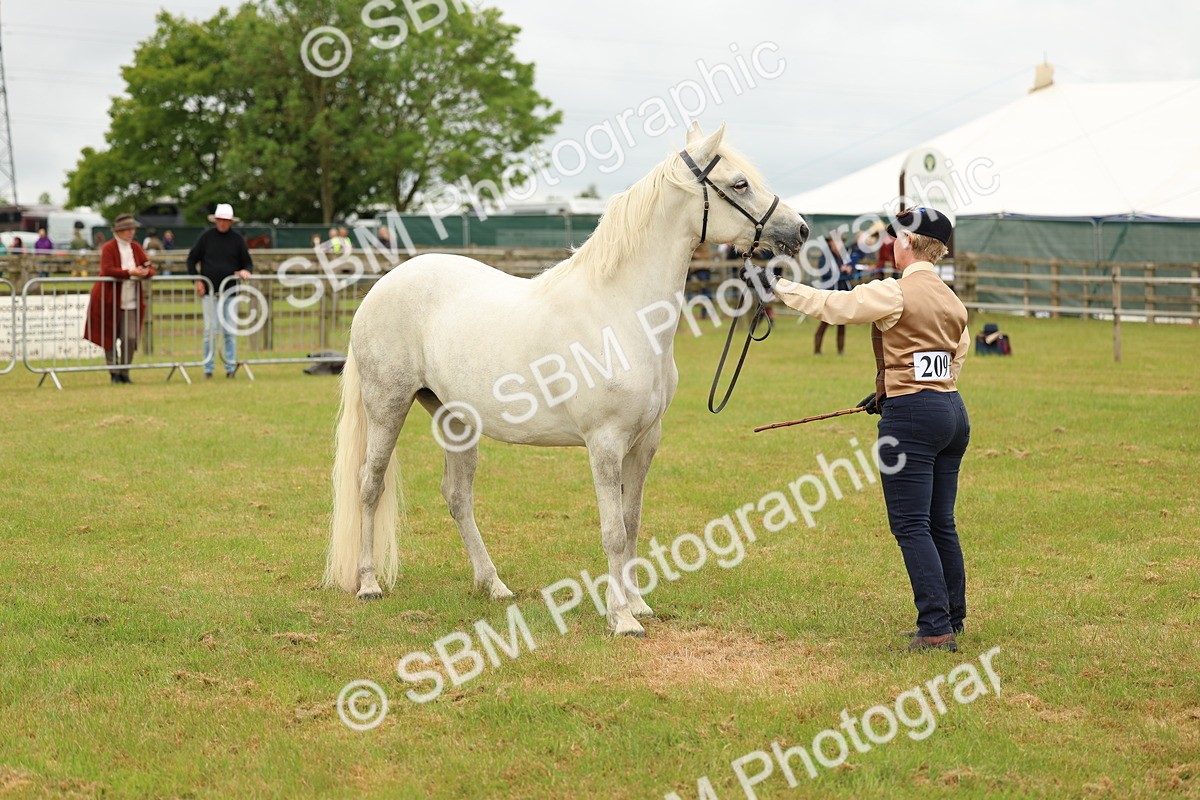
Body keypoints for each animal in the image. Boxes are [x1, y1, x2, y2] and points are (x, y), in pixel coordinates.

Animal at [324, 123, 809, 636]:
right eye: (740, 184)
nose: (800, 229)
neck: (621, 311)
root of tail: (382, 286)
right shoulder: (605, 443)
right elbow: (613, 532)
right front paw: (621, 619)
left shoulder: (645, 442)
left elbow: (632, 523)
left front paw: (637, 604)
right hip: (387, 407)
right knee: (369, 486)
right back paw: (369, 584)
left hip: (455, 420)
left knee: (457, 497)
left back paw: (493, 585)